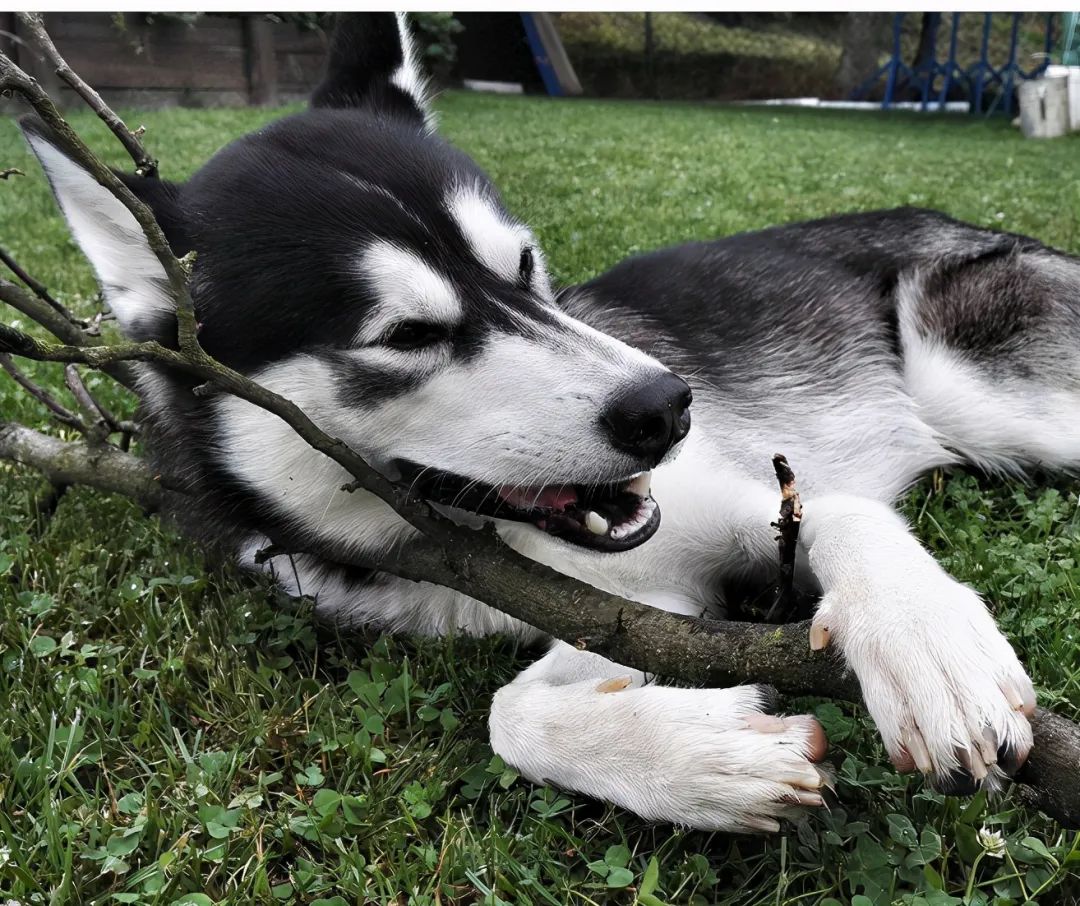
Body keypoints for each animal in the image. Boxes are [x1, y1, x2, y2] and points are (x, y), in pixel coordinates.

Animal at [25, 14, 1071, 837]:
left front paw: (922, 643)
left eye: (524, 266)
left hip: (973, 384)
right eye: (410, 335)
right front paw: (701, 759)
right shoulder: (636, 604)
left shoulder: (737, 506)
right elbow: (511, 714)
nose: (668, 406)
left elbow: (846, 517)